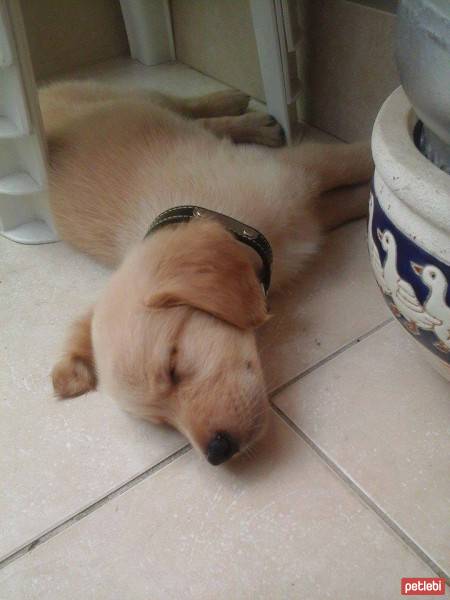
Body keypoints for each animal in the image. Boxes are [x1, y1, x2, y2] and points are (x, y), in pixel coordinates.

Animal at [43, 81, 372, 464]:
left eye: (173, 368)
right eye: (161, 421)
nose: (217, 452)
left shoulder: (294, 171)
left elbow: (352, 159)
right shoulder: (307, 217)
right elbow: (347, 201)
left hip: (132, 98)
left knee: (182, 105)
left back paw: (236, 106)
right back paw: (252, 121)